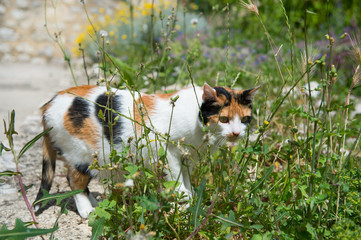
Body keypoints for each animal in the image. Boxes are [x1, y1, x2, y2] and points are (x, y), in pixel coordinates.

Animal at [34, 83, 258, 218]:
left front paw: (193, 198)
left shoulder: (186, 156)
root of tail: (48, 104)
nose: (236, 133)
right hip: (80, 153)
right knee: (74, 181)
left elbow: (186, 180)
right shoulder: (168, 151)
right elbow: (177, 180)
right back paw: (87, 211)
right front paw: (184, 201)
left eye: (245, 119)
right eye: (224, 119)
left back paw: (98, 204)